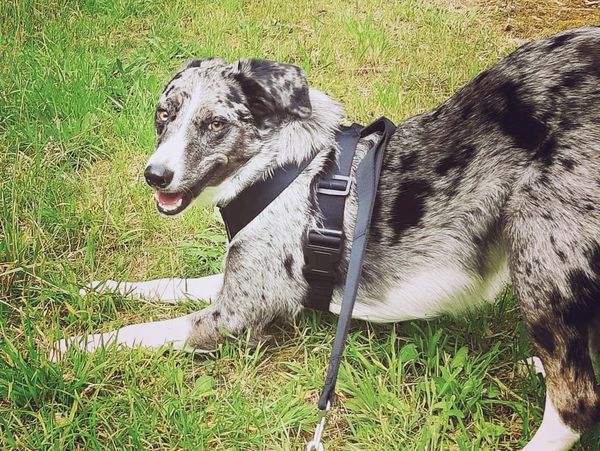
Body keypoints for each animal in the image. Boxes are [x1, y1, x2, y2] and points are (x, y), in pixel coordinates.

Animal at [52, 28, 600, 451]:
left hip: (541, 256)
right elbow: (170, 284)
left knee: (577, 402)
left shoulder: (236, 316)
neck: (278, 169)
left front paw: (71, 346)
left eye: (214, 124)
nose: (155, 175)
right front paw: (101, 289)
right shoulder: (241, 280)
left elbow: (140, 331)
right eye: (164, 114)